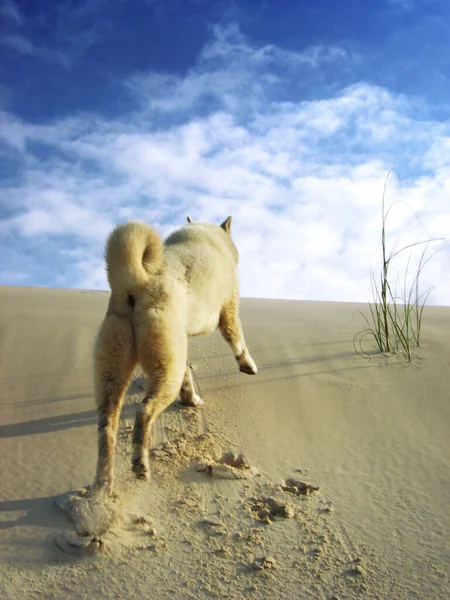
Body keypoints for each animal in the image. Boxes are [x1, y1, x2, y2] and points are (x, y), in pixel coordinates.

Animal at [92, 216, 256, 492]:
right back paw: (140, 465)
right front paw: (248, 365)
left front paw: (191, 399)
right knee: (144, 411)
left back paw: (104, 482)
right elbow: (237, 339)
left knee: (107, 425)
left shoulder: (183, 345)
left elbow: (188, 378)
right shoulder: (230, 308)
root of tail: (137, 282)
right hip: (165, 366)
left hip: (115, 366)